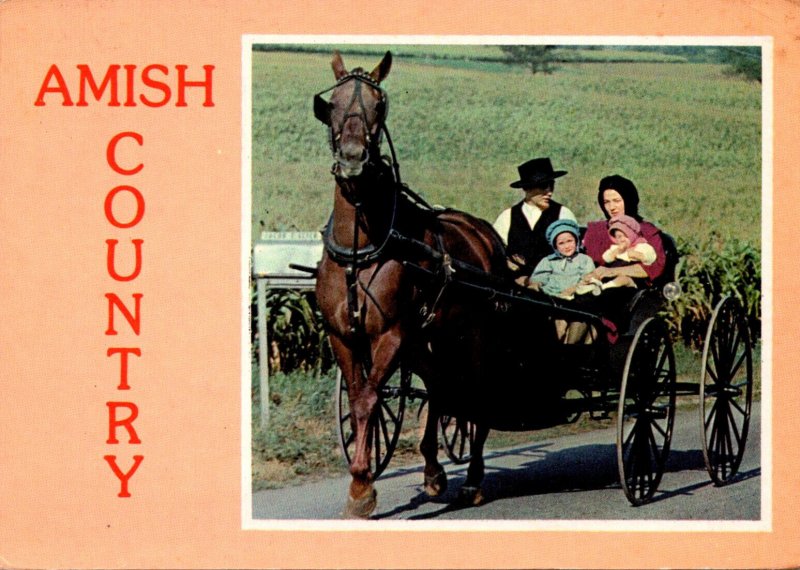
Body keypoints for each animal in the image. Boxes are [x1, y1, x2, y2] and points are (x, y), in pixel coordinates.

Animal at [312, 51, 506, 516]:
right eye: (334, 103)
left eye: (379, 105)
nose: (352, 157)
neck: (361, 249)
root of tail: (483, 232)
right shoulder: (342, 335)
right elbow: (361, 397)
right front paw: (364, 481)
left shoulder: (390, 333)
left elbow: (368, 398)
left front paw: (361, 488)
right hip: (427, 337)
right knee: (438, 384)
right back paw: (434, 471)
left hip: (473, 334)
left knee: (475, 392)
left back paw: (474, 480)